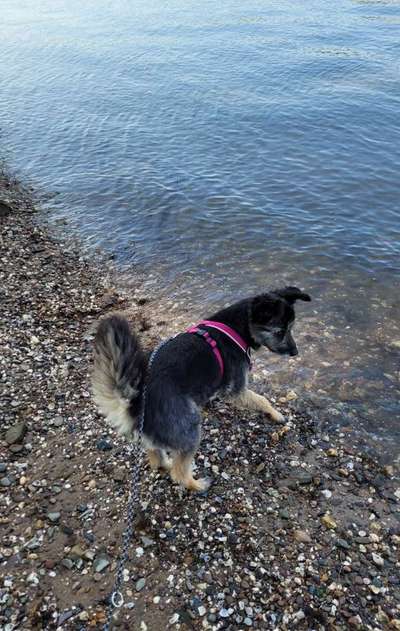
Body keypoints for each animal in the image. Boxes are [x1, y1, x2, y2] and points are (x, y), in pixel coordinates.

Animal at [92, 286, 310, 494]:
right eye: (279, 331)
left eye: (291, 328)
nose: (295, 352)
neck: (237, 328)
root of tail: (136, 403)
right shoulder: (236, 390)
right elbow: (262, 399)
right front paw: (276, 414)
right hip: (189, 428)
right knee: (179, 472)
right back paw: (197, 485)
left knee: (156, 456)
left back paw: (166, 463)